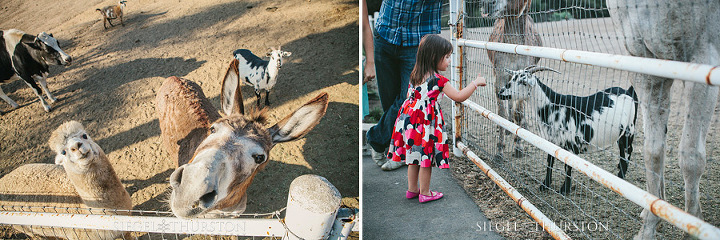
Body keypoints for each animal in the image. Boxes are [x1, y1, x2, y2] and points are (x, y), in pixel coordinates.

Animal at [498, 65, 640, 195]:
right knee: (621, 149)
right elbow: (549, 162)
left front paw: (564, 190)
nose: (501, 92)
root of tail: (628, 92)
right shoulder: (550, 141)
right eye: (512, 77)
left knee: (628, 149)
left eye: (523, 82)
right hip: (621, 132)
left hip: (629, 129)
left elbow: (568, 167)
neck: (553, 107)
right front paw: (545, 185)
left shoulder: (572, 145)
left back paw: (621, 175)